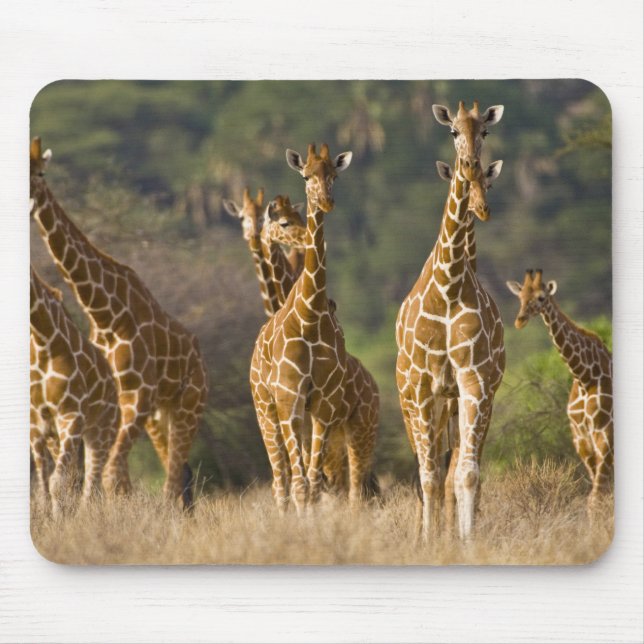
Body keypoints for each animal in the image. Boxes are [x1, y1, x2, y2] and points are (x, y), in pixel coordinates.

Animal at [30, 266, 120, 516]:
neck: (43, 339)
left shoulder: (71, 413)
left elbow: (57, 482)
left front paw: (60, 521)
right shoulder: (35, 421)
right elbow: (44, 487)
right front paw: (49, 517)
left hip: (102, 431)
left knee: (91, 483)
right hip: (57, 435)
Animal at [250, 143, 378, 514]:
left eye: (334, 174)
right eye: (306, 175)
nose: (326, 201)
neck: (309, 314)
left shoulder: (322, 405)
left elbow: (313, 484)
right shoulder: (289, 399)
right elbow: (300, 483)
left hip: (348, 426)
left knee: (347, 487)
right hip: (266, 407)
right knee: (281, 480)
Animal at [506, 269, 613, 512]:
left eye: (541, 298)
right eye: (520, 297)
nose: (519, 320)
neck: (584, 376)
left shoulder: (604, 432)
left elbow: (598, 496)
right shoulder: (581, 437)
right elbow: (596, 496)